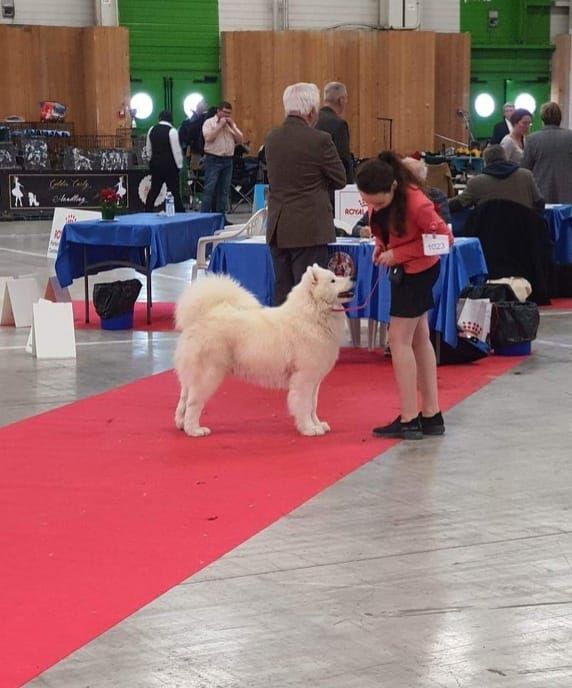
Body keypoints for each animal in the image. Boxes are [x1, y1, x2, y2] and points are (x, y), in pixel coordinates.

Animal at [174, 264, 354, 437]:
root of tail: (203, 316)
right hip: (208, 375)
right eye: (332, 280)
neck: (313, 315)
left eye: (335, 276)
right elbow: (303, 405)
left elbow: (313, 405)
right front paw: (309, 429)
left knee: (184, 400)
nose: (352, 278)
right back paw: (194, 430)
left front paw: (318, 424)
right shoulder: (304, 379)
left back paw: (182, 425)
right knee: (193, 403)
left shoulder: (315, 381)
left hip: (193, 376)